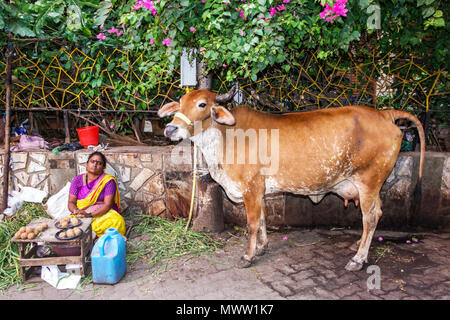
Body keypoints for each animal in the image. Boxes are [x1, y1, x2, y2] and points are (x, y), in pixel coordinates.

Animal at [159, 89, 426, 272]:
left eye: (202, 104)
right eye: (180, 103)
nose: (171, 129)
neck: (225, 136)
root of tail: (384, 114)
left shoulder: (250, 187)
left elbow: (252, 223)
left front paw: (248, 256)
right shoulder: (260, 190)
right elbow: (263, 219)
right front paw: (262, 247)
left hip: (369, 181)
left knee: (370, 218)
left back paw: (358, 259)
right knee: (375, 214)